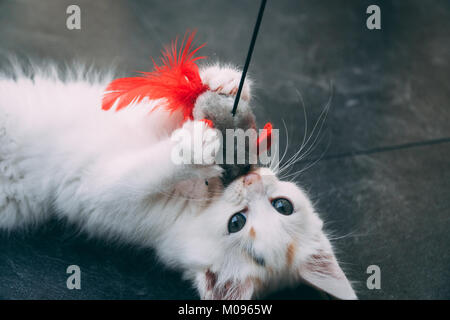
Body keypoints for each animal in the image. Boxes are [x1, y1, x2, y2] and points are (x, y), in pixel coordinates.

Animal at [0, 62, 356, 300]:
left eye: (236, 223)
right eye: (284, 205)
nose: (250, 181)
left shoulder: (97, 193)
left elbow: (139, 171)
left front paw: (195, 145)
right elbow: (166, 113)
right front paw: (222, 81)